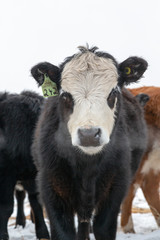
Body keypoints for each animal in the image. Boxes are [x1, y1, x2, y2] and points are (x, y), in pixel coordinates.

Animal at [30, 45, 148, 240]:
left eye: (113, 93)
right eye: (65, 95)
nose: (89, 134)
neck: (86, 165)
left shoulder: (116, 186)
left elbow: (103, 227)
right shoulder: (51, 186)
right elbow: (64, 232)